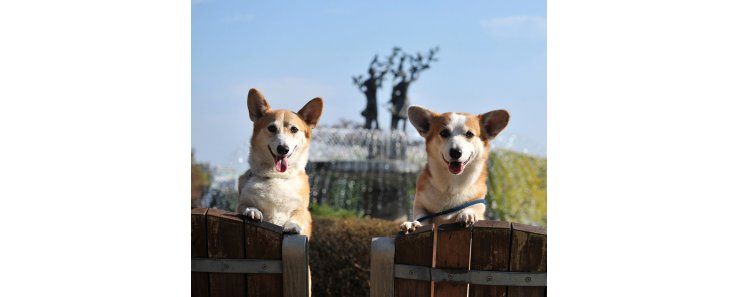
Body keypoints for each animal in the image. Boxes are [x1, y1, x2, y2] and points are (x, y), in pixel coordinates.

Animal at [234, 86, 320, 237]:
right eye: (272, 128)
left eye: (294, 129)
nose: (283, 149)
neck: (277, 176)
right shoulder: (241, 203)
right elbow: (245, 206)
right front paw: (252, 211)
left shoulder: (303, 211)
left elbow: (298, 216)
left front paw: (292, 226)